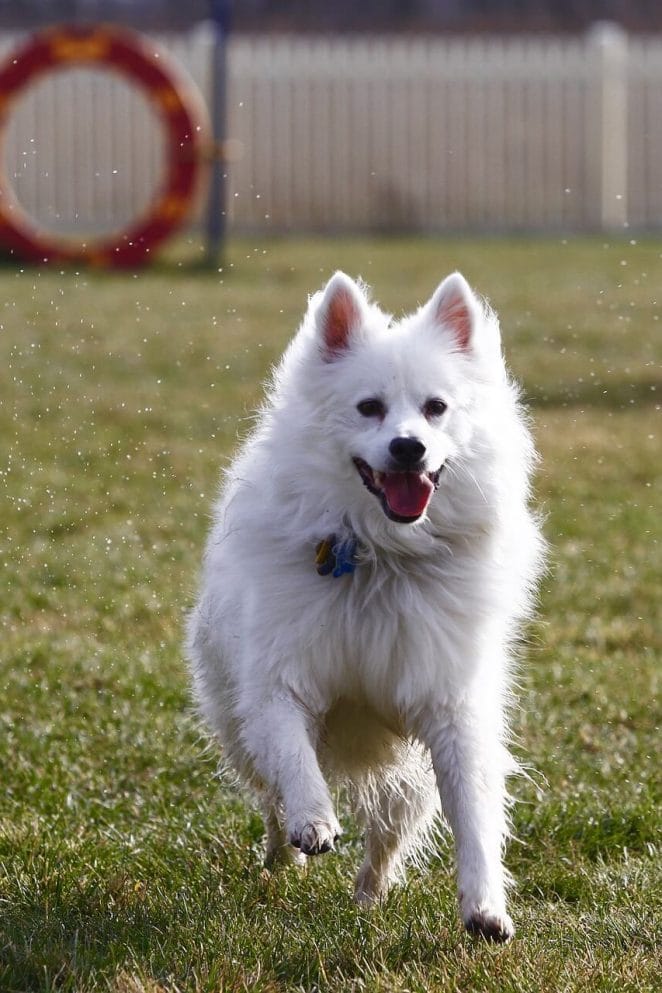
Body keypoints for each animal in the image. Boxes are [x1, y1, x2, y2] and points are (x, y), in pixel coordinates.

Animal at [187, 270, 544, 936]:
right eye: (369, 408)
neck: (382, 555)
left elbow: (474, 813)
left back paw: (370, 893)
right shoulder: (278, 681)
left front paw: (485, 906)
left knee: (388, 835)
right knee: (269, 795)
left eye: (436, 408)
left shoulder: (450, 704)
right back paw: (283, 858)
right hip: (236, 725)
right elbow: (294, 759)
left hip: (408, 782)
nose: (408, 448)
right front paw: (314, 821)